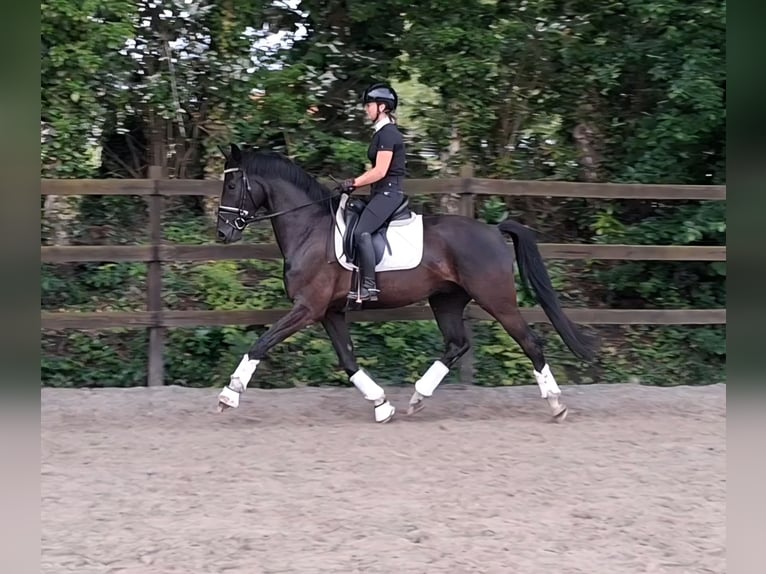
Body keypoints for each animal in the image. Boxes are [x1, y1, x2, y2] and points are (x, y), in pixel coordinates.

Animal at [214, 143, 599, 423]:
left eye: (232, 185)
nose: (222, 233)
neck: (309, 228)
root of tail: (493, 230)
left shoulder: (308, 308)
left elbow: (261, 343)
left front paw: (229, 394)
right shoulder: (330, 311)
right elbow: (348, 359)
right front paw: (381, 404)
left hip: (497, 299)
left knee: (530, 342)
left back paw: (556, 404)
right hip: (446, 300)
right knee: (457, 344)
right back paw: (417, 397)